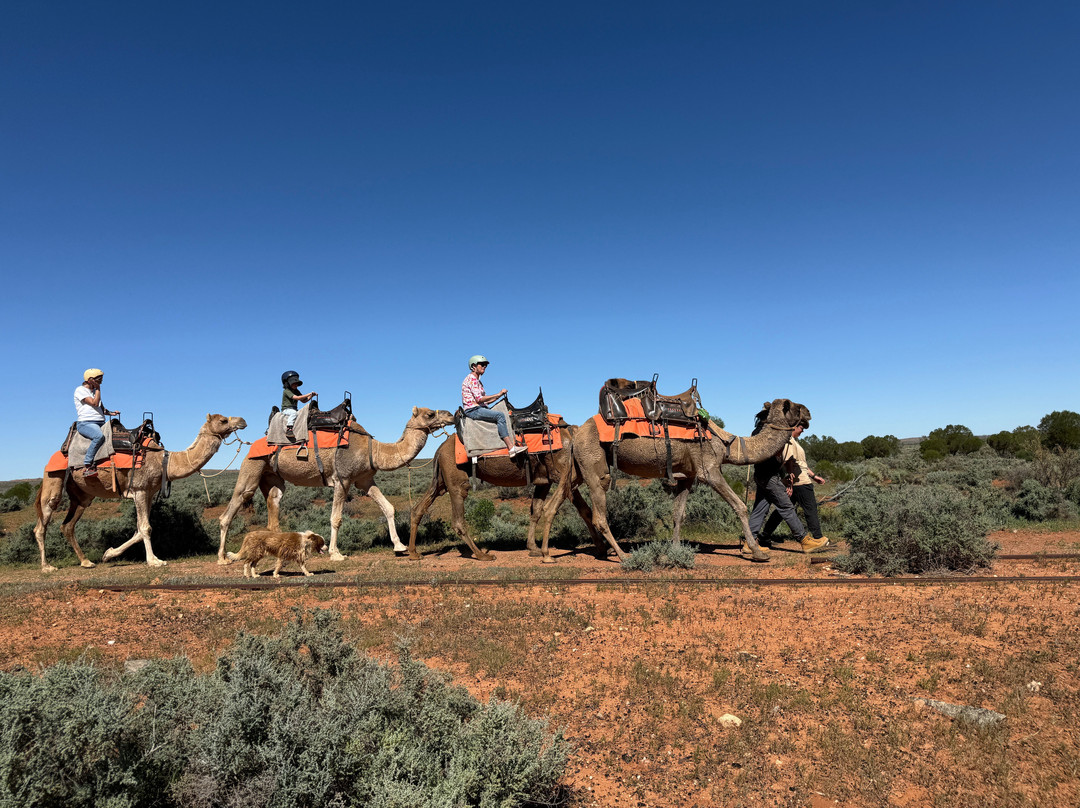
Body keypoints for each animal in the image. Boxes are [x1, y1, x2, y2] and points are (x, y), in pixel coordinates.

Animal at [33, 414, 249, 571]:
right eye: (223, 420)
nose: (242, 420)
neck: (165, 461)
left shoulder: (149, 493)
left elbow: (138, 530)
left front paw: (108, 554)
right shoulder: (139, 490)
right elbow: (146, 528)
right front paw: (155, 561)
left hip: (82, 495)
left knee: (67, 525)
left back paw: (86, 561)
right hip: (54, 478)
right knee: (42, 523)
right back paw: (46, 566)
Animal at [218, 406, 455, 563]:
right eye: (430, 414)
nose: (451, 415)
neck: (374, 450)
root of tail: (251, 445)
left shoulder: (365, 479)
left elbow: (388, 507)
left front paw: (399, 546)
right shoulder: (343, 479)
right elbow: (336, 518)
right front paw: (336, 553)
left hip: (272, 477)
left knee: (274, 502)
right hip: (252, 467)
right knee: (232, 508)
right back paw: (223, 557)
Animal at [406, 425, 605, 562]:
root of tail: (440, 448)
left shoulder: (544, 481)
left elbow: (535, 511)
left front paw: (533, 548)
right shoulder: (564, 475)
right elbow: (584, 510)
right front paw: (602, 547)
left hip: (440, 480)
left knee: (419, 507)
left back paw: (413, 553)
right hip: (455, 478)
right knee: (458, 518)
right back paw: (482, 555)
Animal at [540, 398, 811, 562]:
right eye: (793, 406)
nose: (809, 411)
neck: (727, 444)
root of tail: (577, 432)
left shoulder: (687, 477)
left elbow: (678, 514)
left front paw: (675, 548)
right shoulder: (709, 470)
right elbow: (740, 506)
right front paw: (757, 552)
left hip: (576, 468)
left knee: (553, 504)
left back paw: (546, 554)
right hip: (594, 466)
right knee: (598, 514)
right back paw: (623, 555)